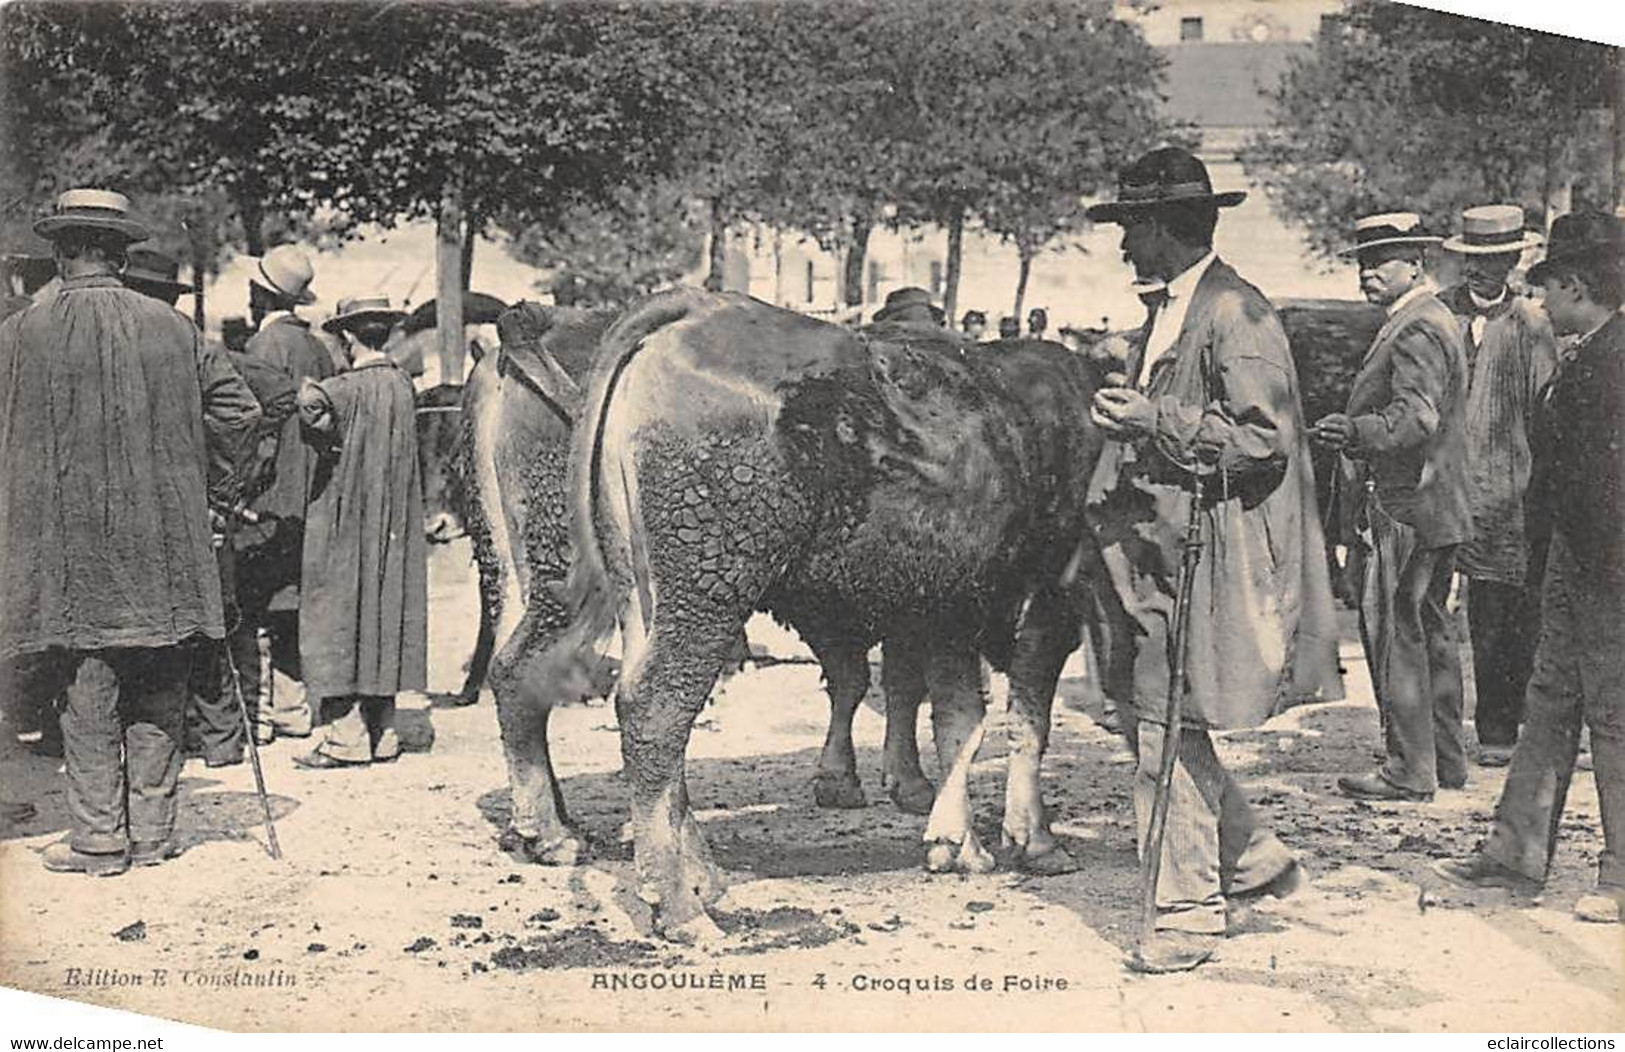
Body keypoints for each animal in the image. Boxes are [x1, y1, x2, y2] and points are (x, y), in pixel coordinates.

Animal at [494, 287, 1111, 936]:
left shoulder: (946, 610)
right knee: (653, 709)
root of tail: (694, 307)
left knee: (533, 676)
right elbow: (1027, 724)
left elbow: (959, 722)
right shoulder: (1052, 601)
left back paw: (610, 852)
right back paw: (681, 907)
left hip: (624, 589)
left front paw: (955, 843)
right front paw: (1035, 840)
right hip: (706, 587)